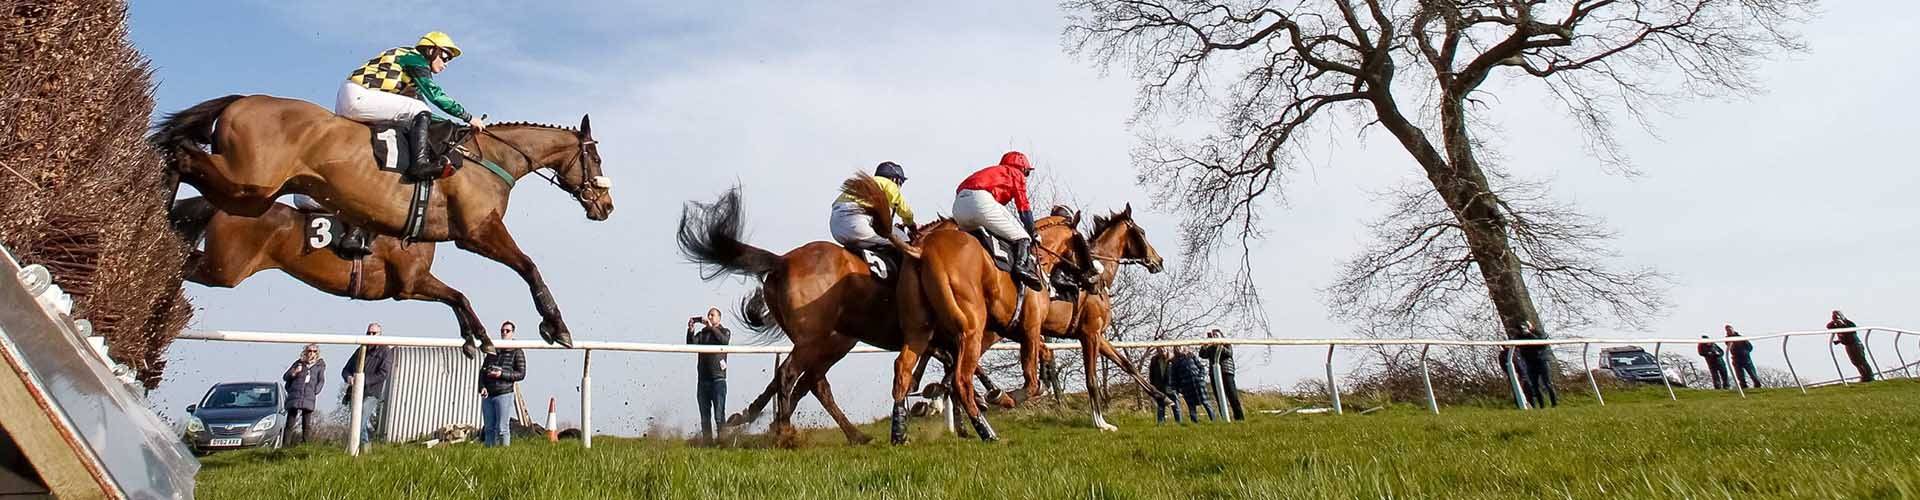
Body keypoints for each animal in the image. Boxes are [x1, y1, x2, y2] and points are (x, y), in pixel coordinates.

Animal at [168, 197, 495, 357]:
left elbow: (455, 299)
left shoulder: (410, 285)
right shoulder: (410, 283)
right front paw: (482, 339)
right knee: (181, 263)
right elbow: (459, 297)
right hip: (224, 268)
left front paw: (470, 340)